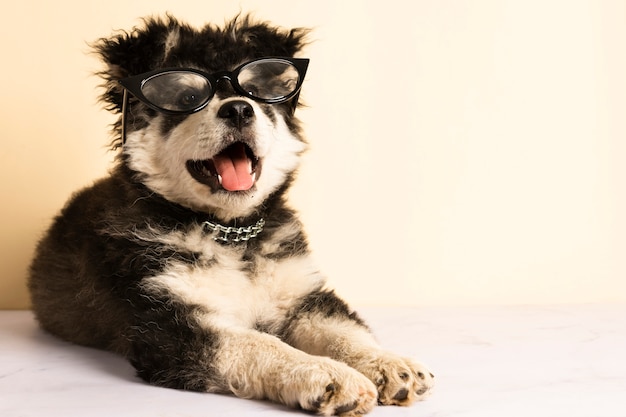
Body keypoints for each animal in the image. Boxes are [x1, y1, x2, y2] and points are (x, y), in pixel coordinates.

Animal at [28, 14, 428, 414]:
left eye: (255, 92)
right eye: (188, 98)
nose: (237, 109)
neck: (230, 233)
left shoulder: (301, 294)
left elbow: (342, 329)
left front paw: (388, 363)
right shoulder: (165, 320)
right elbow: (260, 344)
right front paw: (328, 375)